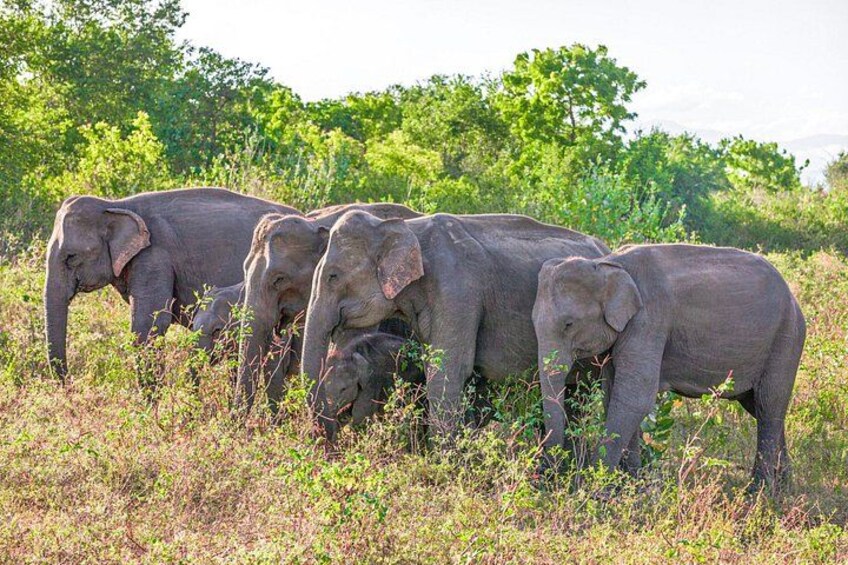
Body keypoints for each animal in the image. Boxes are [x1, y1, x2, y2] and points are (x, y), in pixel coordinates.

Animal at [532, 243, 806, 489]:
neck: (608, 264)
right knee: (760, 407)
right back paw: (783, 489)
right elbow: (614, 396)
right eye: (533, 321)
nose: (548, 479)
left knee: (769, 404)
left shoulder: (649, 321)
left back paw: (758, 494)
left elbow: (634, 397)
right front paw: (631, 485)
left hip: (786, 340)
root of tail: (793, 299)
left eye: (569, 324)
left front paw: (595, 489)